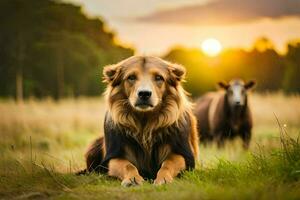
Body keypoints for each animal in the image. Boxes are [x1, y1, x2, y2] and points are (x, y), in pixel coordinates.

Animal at [83, 55, 198, 186]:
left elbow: (167, 164)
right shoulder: (112, 157)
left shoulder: (184, 155)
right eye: (131, 77)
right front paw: (133, 179)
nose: (144, 94)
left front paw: (163, 179)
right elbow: (128, 165)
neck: (145, 122)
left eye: (159, 77)